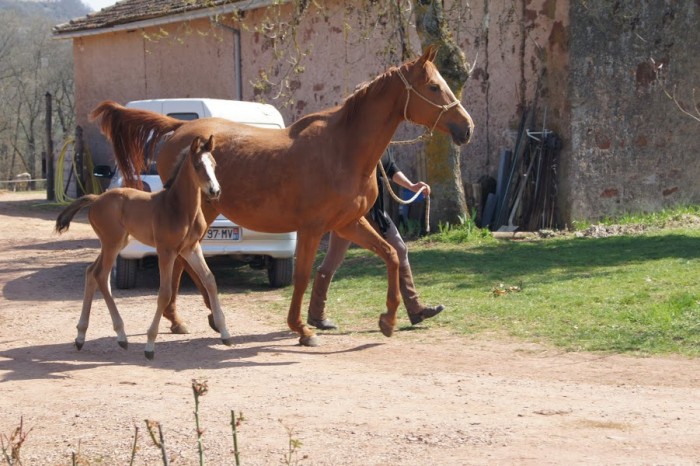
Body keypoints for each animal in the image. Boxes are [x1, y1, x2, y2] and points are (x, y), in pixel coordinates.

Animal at [56, 135, 232, 360]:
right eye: (198, 165)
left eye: (214, 164)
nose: (215, 191)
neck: (179, 208)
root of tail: (96, 198)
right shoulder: (166, 251)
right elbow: (165, 293)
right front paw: (150, 345)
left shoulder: (191, 248)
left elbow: (209, 280)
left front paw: (224, 333)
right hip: (112, 243)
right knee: (101, 276)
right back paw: (121, 336)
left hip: (116, 243)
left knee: (91, 272)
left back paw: (81, 336)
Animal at [93, 46, 474, 346]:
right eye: (433, 86)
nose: (466, 127)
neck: (343, 149)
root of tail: (180, 128)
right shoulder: (313, 228)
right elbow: (303, 276)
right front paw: (302, 329)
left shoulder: (348, 223)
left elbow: (392, 256)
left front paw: (389, 320)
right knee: (181, 260)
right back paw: (192, 319)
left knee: (184, 262)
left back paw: (189, 320)